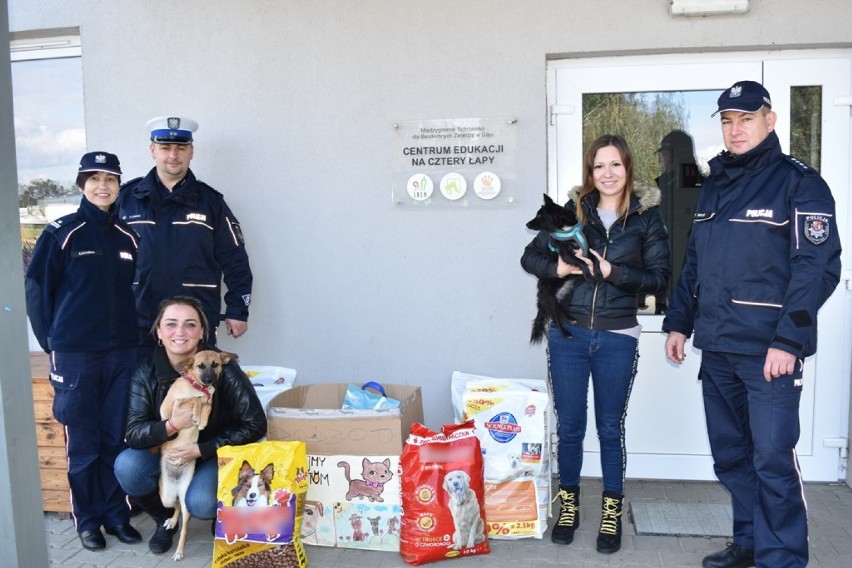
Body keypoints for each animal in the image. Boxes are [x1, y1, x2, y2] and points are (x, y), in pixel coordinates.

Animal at [158, 348, 233, 560]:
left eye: (216, 364)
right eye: (200, 366)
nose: (209, 380)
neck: (198, 386)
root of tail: (176, 484)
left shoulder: (208, 398)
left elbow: (206, 404)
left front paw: (201, 419)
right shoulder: (167, 411)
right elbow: (194, 400)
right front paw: (196, 413)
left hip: (185, 499)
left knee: (183, 523)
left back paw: (179, 549)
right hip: (165, 496)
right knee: (174, 506)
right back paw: (171, 522)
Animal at [524, 193, 600, 344]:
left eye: (539, 215)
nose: (527, 224)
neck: (566, 230)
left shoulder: (587, 250)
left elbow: (594, 260)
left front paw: (598, 272)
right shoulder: (566, 255)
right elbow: (581, 262)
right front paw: (588, 274)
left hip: (567, 295)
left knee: (562, 310)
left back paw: (570, 318)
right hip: (550, 300)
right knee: (556, 318)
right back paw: (565, 333)